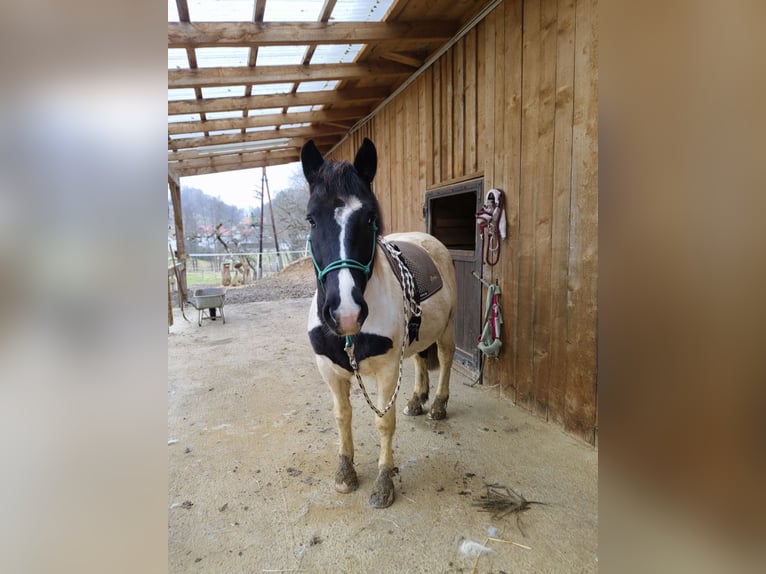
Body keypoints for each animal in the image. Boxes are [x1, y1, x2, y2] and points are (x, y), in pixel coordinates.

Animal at [301, 138, 457, 508]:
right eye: (311, 219)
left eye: (370, 216)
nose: (345, 313)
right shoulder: (329, 370)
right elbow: (342, 418)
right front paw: (345, 473)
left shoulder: (386, 369)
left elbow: (384, 423)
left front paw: (384, 482)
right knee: (419, 361)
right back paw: (417, 400)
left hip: (446, 329)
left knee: (445, 360)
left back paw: (438, 405)